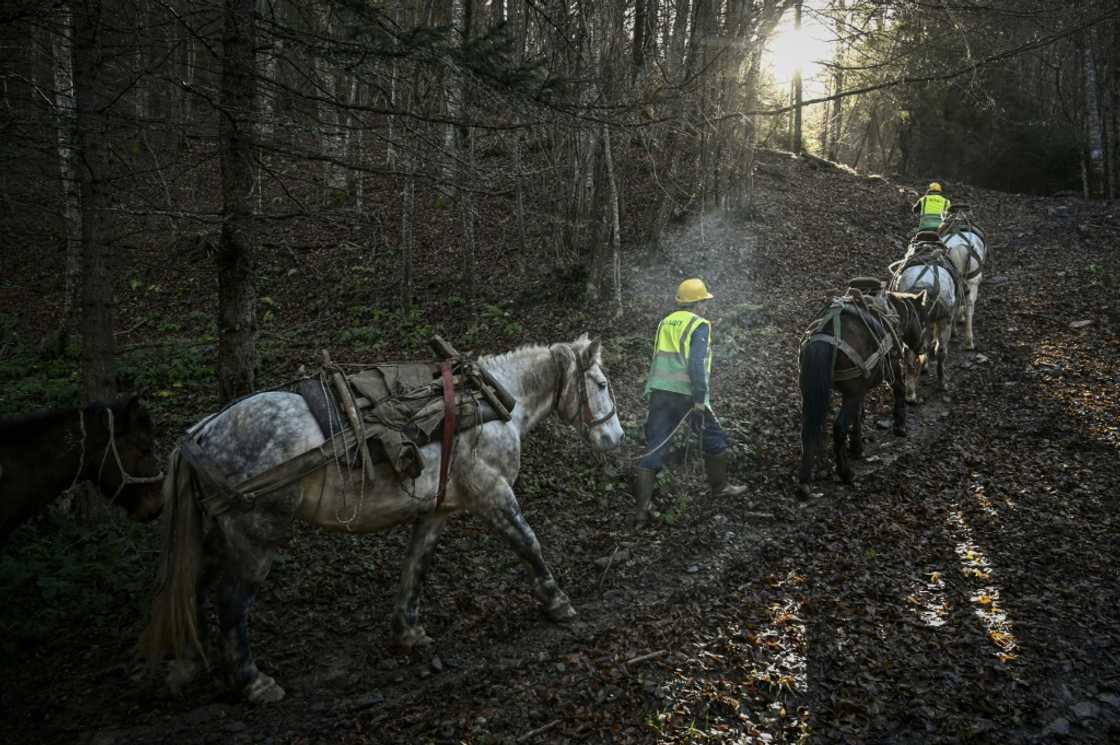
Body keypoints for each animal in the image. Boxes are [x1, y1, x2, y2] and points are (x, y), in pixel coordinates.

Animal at [140, 336, 622, 703]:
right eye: (600, 383)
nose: (616, 438)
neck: (494, 401)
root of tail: (203, 432)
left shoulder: (437, 510)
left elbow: (415, 567)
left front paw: (408, 631)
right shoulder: (493, 493)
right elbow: (528, 543)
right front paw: (558, 602)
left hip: (215, 536)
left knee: (193, 586)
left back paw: (186, 666)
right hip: (254, 536)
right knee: (232, 603)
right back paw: (252, 682)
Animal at [801, 285, 931, 488]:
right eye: (923, 321)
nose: (923, 349)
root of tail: (827, 336)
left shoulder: (859, 389)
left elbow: (858, 415)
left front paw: (857, 447)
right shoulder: (891, 367)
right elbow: (899, 390)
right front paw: (900, 426)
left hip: (812, 391)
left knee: (809, 426)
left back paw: (806, 478)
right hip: (850, 394)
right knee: (839, 428)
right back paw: (846, 473)